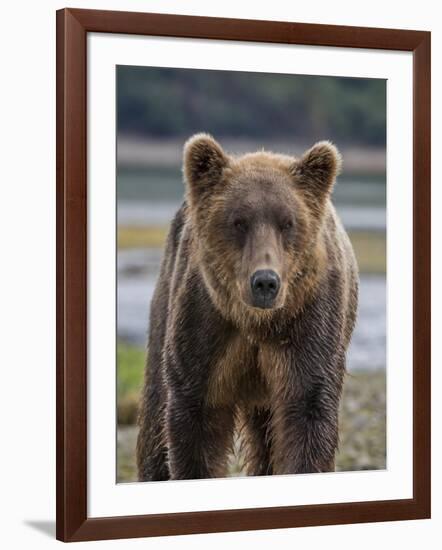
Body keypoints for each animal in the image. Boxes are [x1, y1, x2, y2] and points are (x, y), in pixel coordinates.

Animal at [136, 135, 358, 484]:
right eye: (239, 221)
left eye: (287, 222)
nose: (265, 282)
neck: (256, 322)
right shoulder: (205, 324)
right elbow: (195, 418)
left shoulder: (309, 323)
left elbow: (307, 411)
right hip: (165, 301)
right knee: (156, 411)